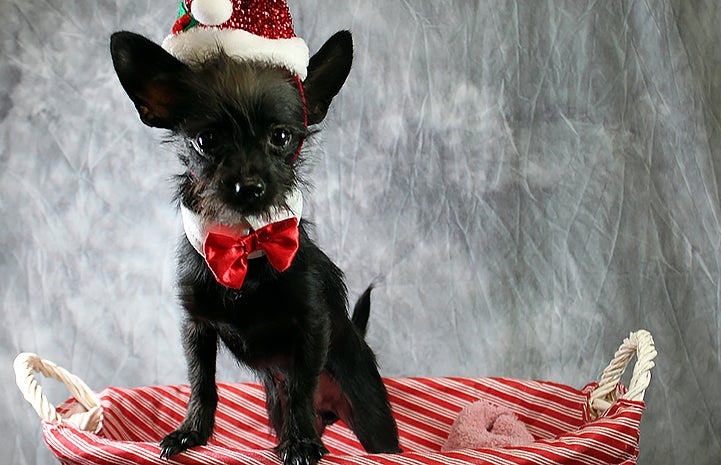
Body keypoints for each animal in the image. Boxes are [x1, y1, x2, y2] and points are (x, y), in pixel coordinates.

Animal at [110, 28, 402, 464]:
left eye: (281, 137)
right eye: (206, 140)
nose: (248, 187)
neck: (244, 246)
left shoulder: (311, 326)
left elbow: (301, 387)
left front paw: (301, 444)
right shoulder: (196, 328)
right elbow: (202, 382)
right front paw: (191, 433)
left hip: (372, 416)